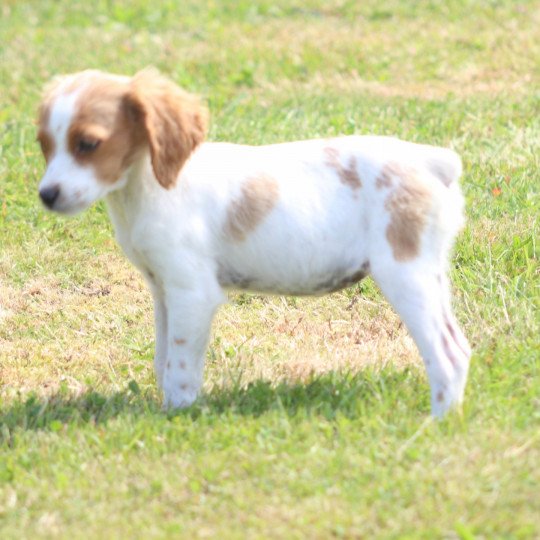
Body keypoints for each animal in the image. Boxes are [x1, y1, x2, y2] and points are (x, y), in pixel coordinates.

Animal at [35, 70, 470, 418]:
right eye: (44, 144)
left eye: (88, 144)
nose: (47, 195)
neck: (152, 186)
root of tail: (428, 161)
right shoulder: (163, 290)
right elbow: (163, 358)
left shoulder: (191, 293)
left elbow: (180, 367)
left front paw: (175, 416)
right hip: (430, 275)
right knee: (460, 348)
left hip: (404, 274)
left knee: (445, 356)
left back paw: (435, 425)